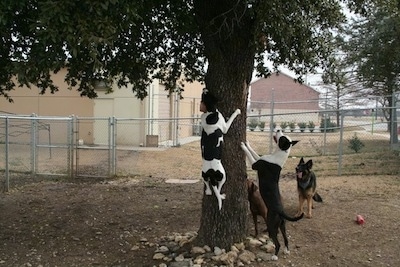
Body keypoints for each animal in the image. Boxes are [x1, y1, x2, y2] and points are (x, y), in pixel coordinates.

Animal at [241, 131, 304, 262]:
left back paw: (275, 255)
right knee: (286, 239)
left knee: (277, 242)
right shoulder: (260, 158)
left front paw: (243, 146)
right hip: (282, 225)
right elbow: (254, 152)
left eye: (282, 138)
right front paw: (247, 143)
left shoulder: (255, 165)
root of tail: (281, 211)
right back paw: (286, 250)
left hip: (271, 225)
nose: (279, 130)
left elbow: (250, 154)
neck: (278, 156)